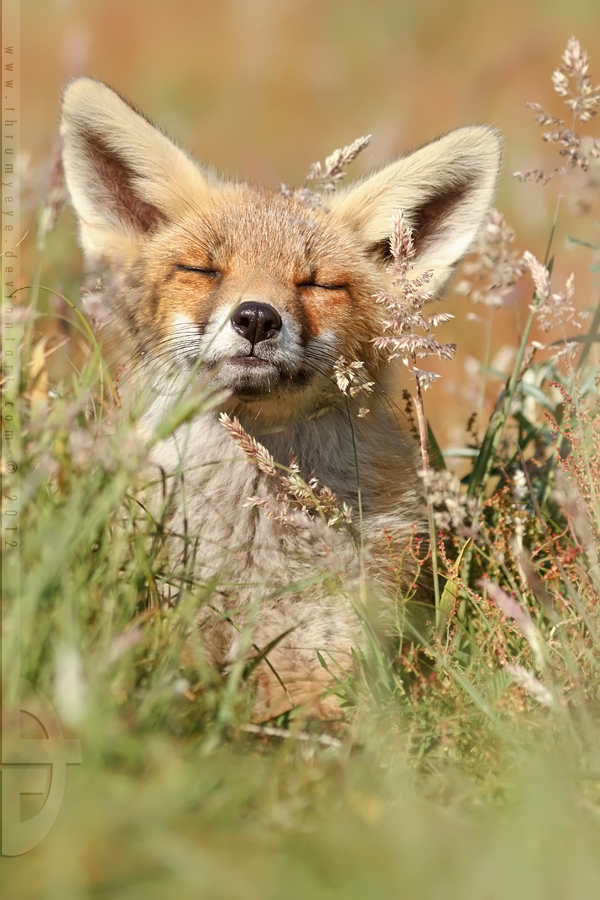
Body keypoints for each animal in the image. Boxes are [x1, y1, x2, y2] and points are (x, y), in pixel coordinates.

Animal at [61, 81, 502, 720]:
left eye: (316, 283)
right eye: (203, 269)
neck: (254, 545)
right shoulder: (171, 632)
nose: (255, 318)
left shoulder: (330, 657)